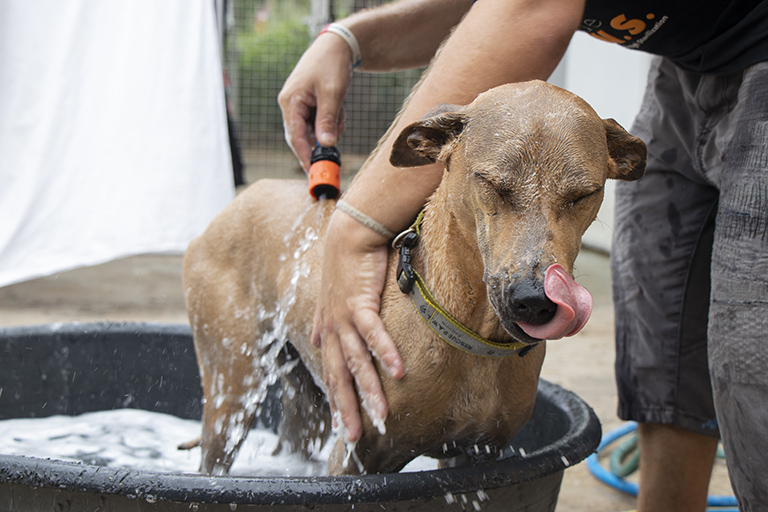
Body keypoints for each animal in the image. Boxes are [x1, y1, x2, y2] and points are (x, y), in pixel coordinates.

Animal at [183, 80, 644, 476]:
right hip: (231, 389)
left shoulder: (480, 451)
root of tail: (242, 198)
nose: (534, 299)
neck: (472, 336)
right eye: (491, 183)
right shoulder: (359, 452)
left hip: (305, 399)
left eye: (584, 194)